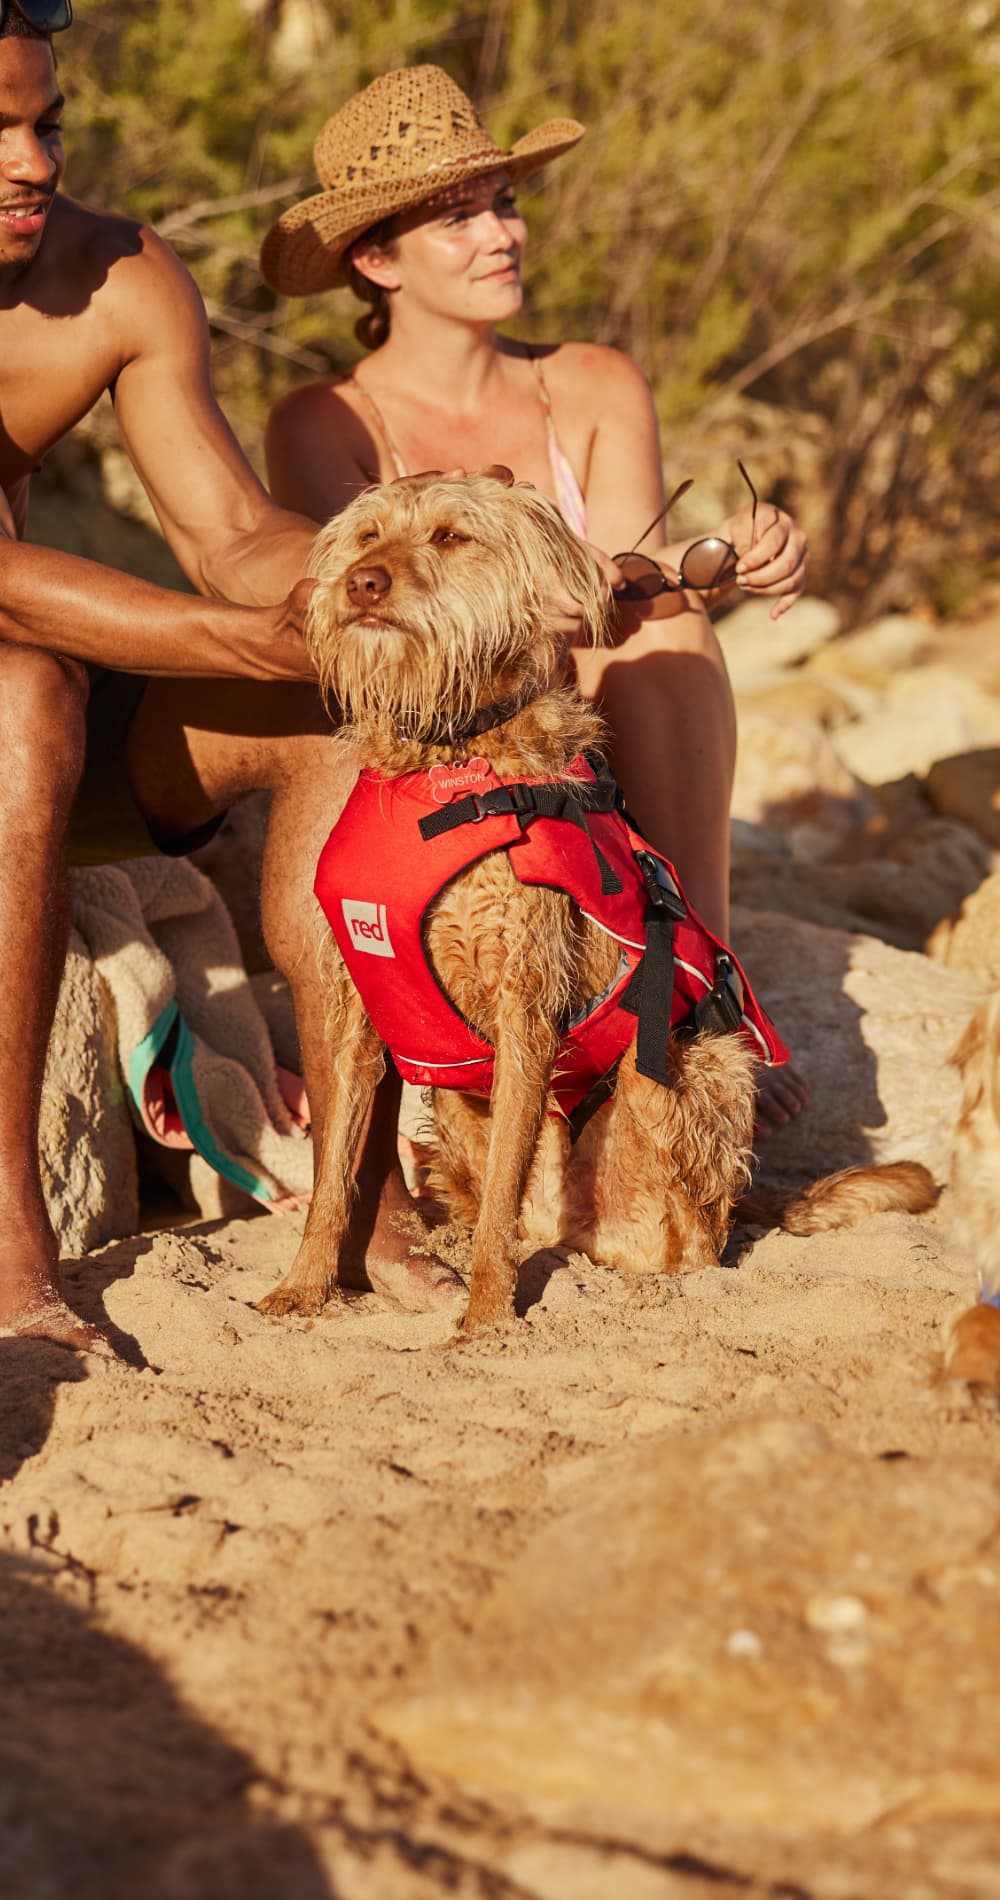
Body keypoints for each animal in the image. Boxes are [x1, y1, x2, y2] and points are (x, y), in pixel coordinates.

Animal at [260, 471, 942, 1337]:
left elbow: (497, 1196)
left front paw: (486, 1314)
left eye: (450, 536)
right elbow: (333, 1175)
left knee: (683, 1236)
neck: (445, 760)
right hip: (452, 1104)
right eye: (366, 536)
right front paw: (303, 1286)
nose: (362, 583)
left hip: (690, 1065)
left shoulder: (526, 1005)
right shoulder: (356, 1010)